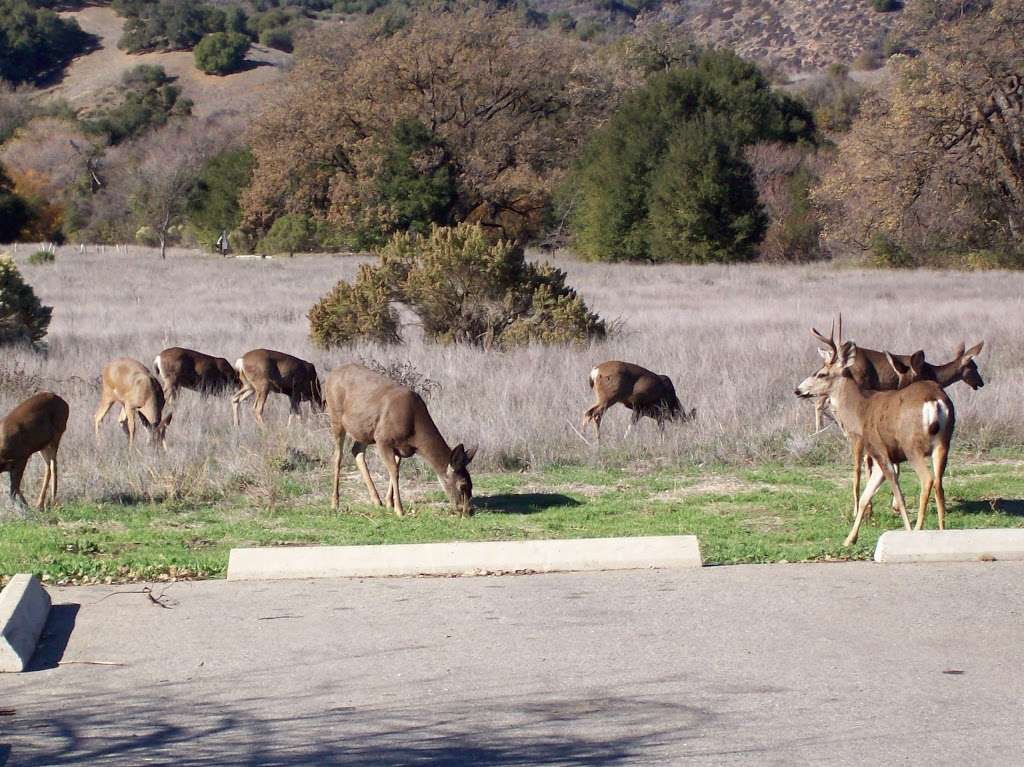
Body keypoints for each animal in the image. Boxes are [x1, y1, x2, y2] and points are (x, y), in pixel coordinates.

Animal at [323, 362, 475, 518]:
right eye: (462, 485)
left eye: (472, 484)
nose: (469, 510)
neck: (414, 433)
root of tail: (330, 375)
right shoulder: (382, 439)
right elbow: (394, 472)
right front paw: (399, 510)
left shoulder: (400, 447)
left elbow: (395, 469)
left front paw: (389, 503)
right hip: (335, 416)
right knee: (338, 456)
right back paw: (335, 503)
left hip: (364, 430)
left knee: (356, 451)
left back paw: (376, 500)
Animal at [794, 323, 954, 544]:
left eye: (821, 374)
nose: (798, 390)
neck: (861, 409)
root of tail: (934, 400)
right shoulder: (880, 458)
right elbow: (865, 497)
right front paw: (849, 539)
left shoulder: (880, 450)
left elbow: (899, 496)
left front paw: (907, 530)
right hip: (943, 443)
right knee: (939, 483)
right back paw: (941, 531)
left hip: (912, 447)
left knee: (927, 480)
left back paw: (918, 530)